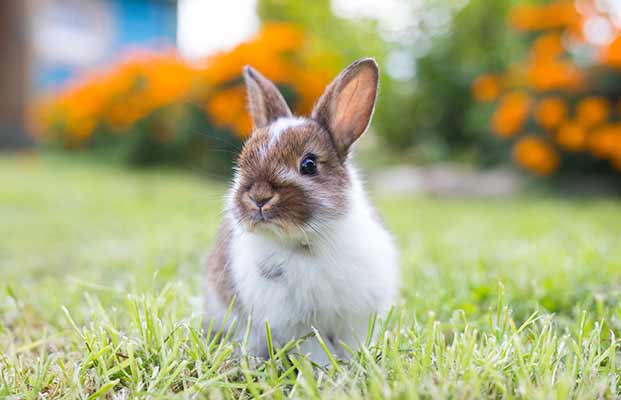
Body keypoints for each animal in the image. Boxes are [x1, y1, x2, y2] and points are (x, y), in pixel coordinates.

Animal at [203, 57, 398, 364]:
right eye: (243, 162)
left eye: (309, 164)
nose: (258, 197)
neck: (308, 242)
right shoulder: (297, 326)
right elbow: (315, 351)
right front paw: (330, 371)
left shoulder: (355, 318)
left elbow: (350, 344)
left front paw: (351, 366)